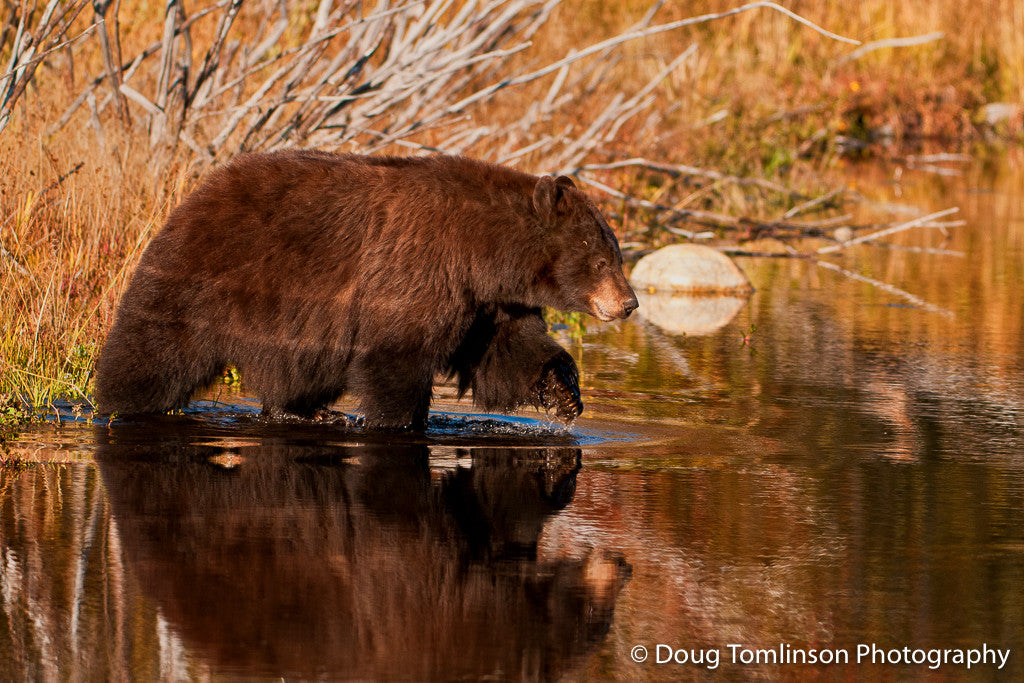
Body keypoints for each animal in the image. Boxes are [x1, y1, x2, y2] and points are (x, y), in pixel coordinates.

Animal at [94, 150, 638, 429]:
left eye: (616, 255)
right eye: (600, 259)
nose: (628, 303)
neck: (482, 252)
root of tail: (197, 191)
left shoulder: (487, 302)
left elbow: (507, 354)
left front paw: (564, 392)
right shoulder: (419, 271)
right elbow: (395, 360)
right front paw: (400, 423)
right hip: (202, 276)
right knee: (154, 350)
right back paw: (117, 403)